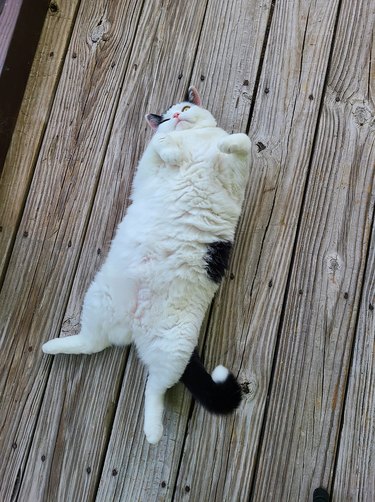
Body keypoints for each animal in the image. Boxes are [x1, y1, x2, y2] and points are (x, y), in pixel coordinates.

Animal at [42, 87, 251, 444]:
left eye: (184, 109)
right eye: (166, 119)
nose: (177, 117)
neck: (190, 140)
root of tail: (133, 324)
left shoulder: (234, 172)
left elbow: (242, 140)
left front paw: (223, 143)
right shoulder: (147, 168)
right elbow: (157, 149)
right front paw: (168, 145)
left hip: (173, 346)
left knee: (155, 387)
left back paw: (153, 431)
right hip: (98, 299)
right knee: (91, 343)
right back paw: (52, 346)